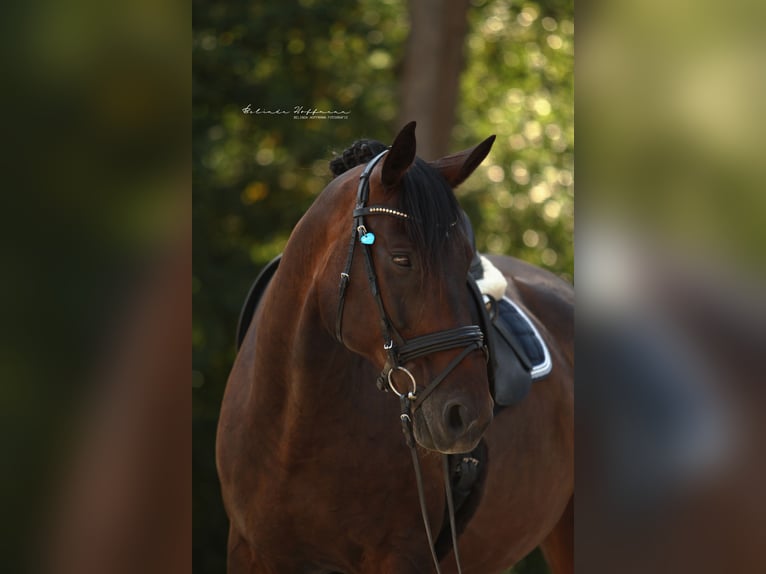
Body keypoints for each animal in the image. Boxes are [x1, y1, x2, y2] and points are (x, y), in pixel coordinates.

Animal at [218, 122, 576, 574]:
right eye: (402, 259)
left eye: (466, 260)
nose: (467, 417)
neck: (293, 426)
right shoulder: (250, 551)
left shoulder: (404, 553)